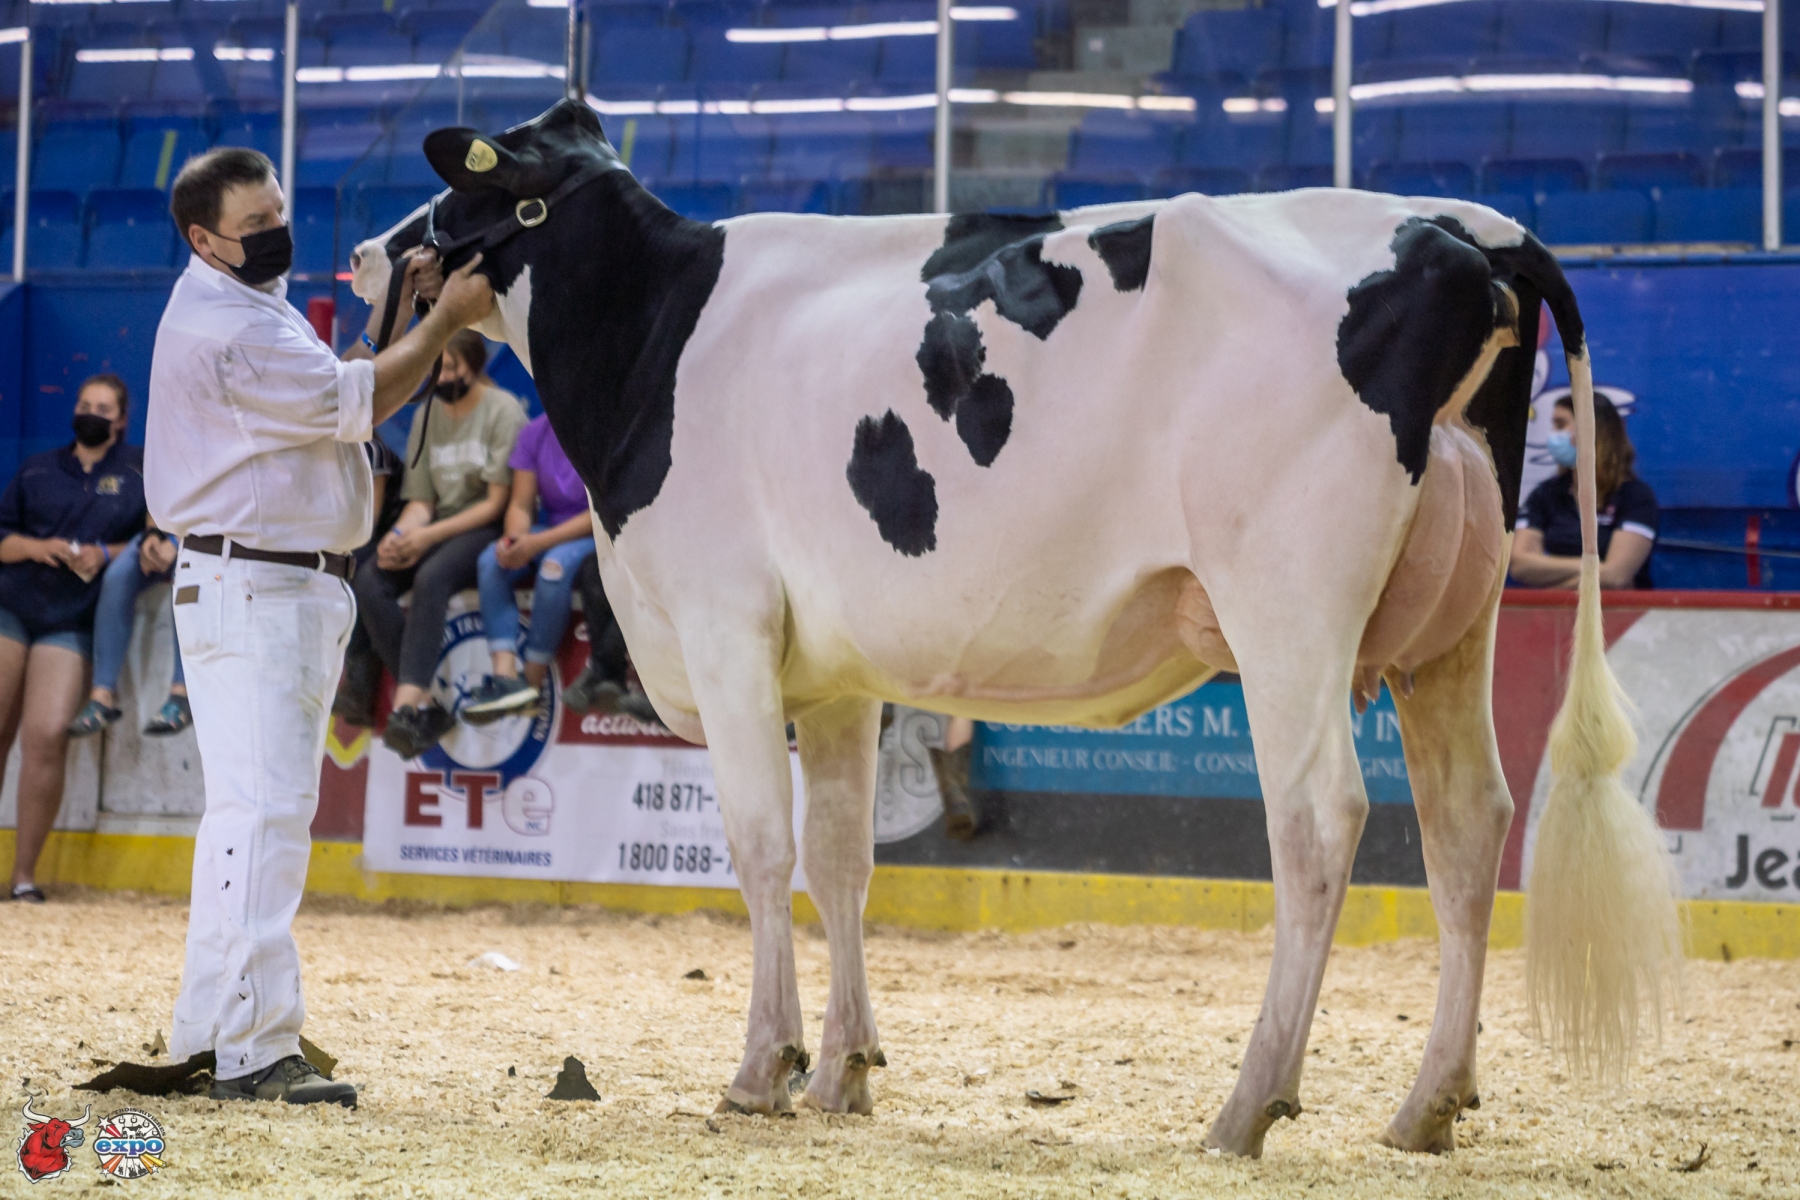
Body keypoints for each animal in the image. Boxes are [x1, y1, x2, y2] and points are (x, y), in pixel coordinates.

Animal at [351, 98, 1682, 1158]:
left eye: (470, 183)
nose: (369, 251)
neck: (655, 335)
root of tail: (1461, 229)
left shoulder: (725, 629)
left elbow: (763, 849)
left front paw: (763, 1069)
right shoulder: (835, 674)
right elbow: (843, 858)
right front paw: (844, 1070)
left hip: (1288, 611)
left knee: (1320, 824)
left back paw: (1248, 1104)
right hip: (1452, 628)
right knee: (1469, 827)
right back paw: (1429, 1104)